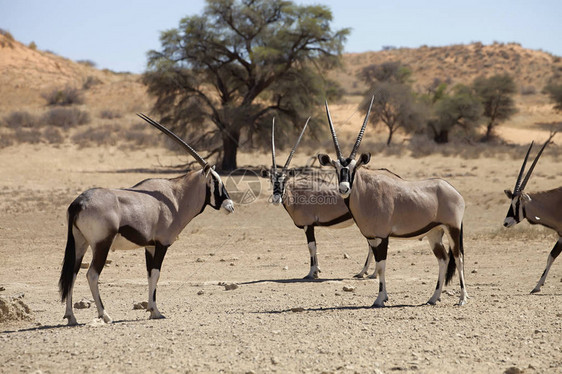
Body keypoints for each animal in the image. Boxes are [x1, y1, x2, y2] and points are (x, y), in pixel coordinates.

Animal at [60, 114, 234, 324]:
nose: (230, 205)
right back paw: (105, 315)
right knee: (92, 274)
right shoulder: (162, 244)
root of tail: (79, 202)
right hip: (101, 244)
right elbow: (156, 274)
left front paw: (151, 309)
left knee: (72, 273)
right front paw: (156, 311)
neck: (176, 196)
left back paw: (71, 317)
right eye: (215, 181)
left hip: (80, 242)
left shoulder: (149, 246)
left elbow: (150, 275)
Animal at [264, 118, 374, 280]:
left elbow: (311, 247)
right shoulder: (311, 226)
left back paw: (363, 272)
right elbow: (314, 247)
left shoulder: (308, 226)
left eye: (285, 180)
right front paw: (317, 270)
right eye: (272, 181)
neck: (297, 195)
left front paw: (311, 273)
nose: (276, 198)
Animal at [318, 100, 466, 306]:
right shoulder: (372, 238)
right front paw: (382, 296)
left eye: (354, 168)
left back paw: (462, 298)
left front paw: (380, 298)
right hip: (434, 233)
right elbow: (378, 266)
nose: (344, 188)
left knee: (459, 258)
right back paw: (433, 297)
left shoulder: (382, 237)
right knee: (443, 259)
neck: (366, 193)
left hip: (453, 229)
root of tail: (455, 192)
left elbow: (381, 266)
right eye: (336, 168)